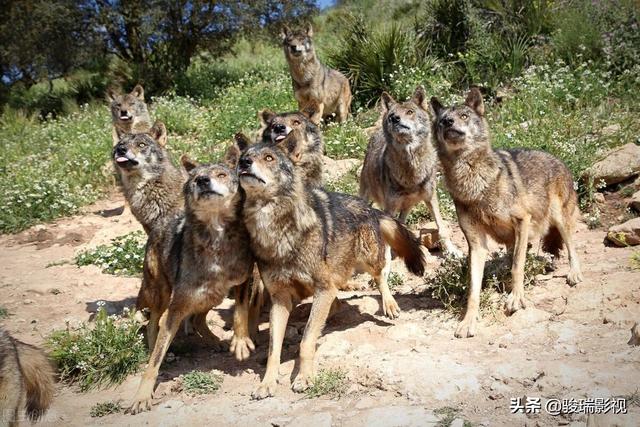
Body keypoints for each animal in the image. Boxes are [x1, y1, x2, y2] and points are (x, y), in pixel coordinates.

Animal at [129, 151, 256, 414]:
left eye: (221, 174)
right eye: (197, 177)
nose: (203, 181)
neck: (216, 240)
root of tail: (160, 223)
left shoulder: (243, 279)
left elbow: (240, 312)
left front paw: (239, 342)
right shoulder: (176, 308)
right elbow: (154, 362)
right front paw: (142, 395)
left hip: (213, 294)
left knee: (198, 319)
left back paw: (214, 341)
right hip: (163, 295)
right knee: (153, 324)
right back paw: (155, 346)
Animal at [238, 129, 428, 400]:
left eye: (268, 158)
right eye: (244, 156)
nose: (244, 163)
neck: (277, 232)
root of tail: (369, 208)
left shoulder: (322, 288)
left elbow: (306, 342)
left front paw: (304, 377)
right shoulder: (280, 298)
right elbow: (274, 350)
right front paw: (267, 383)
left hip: (366, 259)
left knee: (381, 274)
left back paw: (389, 305)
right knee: (337, 300)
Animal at [360, 85, 460, 256]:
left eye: (409, 112)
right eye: (392, 116)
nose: (394, 119)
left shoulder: (431, 198)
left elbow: (441, 227)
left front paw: (453, 251)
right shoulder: (390, 208)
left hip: (407, 207)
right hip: (367, 197)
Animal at [430, 88, 584, 340]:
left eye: (464, 115)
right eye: (443, 120)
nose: (449, 123)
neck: (473, 183)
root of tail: (558, 159)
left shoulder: (522, 220)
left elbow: (517, 266)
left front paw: (516, 299)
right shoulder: (476, 244)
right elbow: (473, 289)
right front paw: (468, 321)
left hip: (558, 219)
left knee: (571, 248)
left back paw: (574, 273)